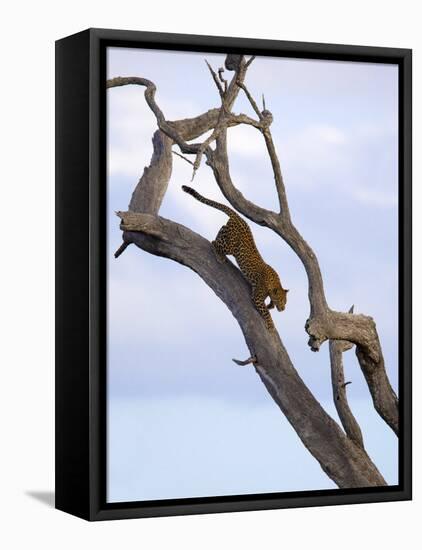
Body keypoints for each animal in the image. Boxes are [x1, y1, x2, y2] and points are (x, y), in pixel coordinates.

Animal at [181, 185, 286, 332]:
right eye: (282, 301)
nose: (283, 309)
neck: (274, 283)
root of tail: (239, 217)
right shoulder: (257, 297)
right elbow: (266, 312)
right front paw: (271, 325)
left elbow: (268, 306)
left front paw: (270, 306)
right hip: (231, 246)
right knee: (214, 242)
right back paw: (219, 256)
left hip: (229, 235)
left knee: (222, 229)